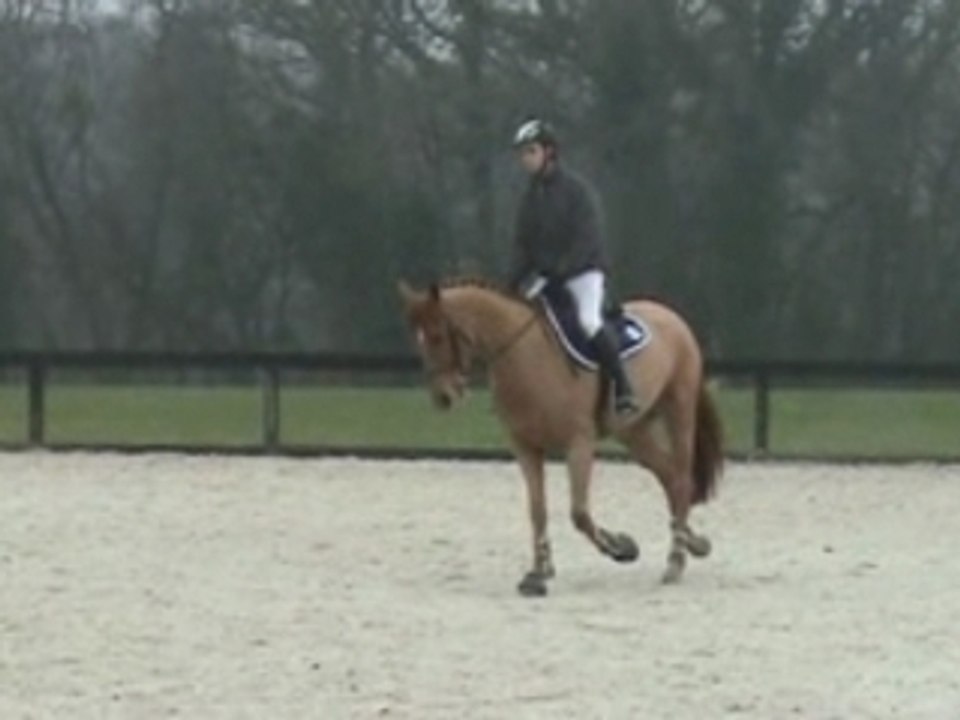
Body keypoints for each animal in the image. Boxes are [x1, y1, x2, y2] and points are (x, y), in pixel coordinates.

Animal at [398, 276, 723, 596]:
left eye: (438, 336)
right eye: (419, 340)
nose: (443, 397)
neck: (525, 355)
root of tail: (668, 314)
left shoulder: (578, 445)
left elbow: (579, 513)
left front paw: (620, 547)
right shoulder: (526, 448)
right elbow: (537, 511)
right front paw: (538, 573)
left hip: (679, 411)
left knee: (681, 479)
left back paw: (676, 561)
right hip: (634, 431)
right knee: (669, 477)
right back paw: (694, 543)